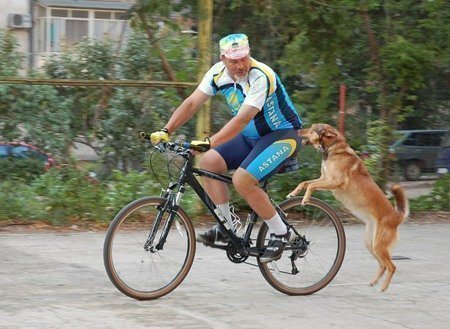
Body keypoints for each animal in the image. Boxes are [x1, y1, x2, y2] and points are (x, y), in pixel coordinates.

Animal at [288, 122, 408, 290]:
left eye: (311, 129)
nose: (298, 130)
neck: (333, 149)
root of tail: (397, 217)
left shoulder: (335, 181)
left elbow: (311, 186)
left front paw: (305, 199)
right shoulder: (324, 178)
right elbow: (305, 183)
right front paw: (293, 194)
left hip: (378, 246)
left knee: (392, 266)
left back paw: (383, 287)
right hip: (371, 244)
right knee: (383, 265)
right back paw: (374, 282)